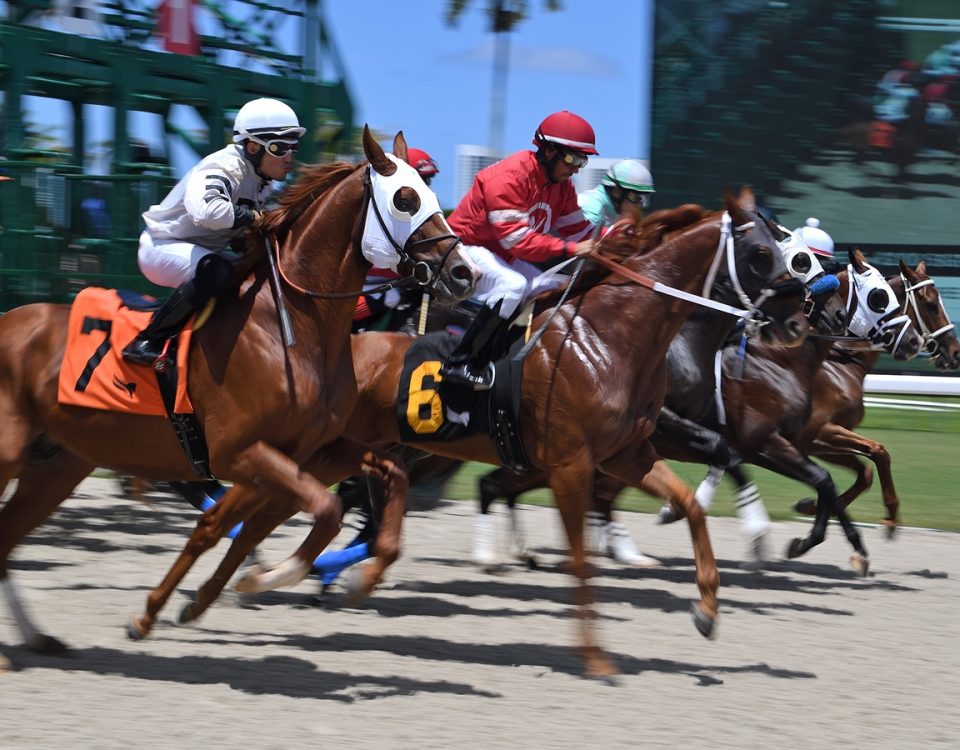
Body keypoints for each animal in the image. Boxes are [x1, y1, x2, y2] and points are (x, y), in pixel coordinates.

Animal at [0, 131, 478, 656]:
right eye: (405, 199)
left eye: (431, 194)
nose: (464, 273)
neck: (288, 325)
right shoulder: (242, 452)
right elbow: (317, 512)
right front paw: (265, 579)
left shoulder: (306, 452)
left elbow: (376, 482)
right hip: (13, 450)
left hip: (59, 464)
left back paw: (38, 638)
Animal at [135, 189, 808, 680]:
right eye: (759, 254)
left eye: (786, 248)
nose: (800, 313)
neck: (610, 334)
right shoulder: (571, 463)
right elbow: (581, 561)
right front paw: (596, 656)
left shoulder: (628, 453)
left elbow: (692, 507)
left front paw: (708, 609)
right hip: (331, 449)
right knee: (271, 509)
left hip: (335, 452)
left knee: (272, 511)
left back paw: (255, 585)